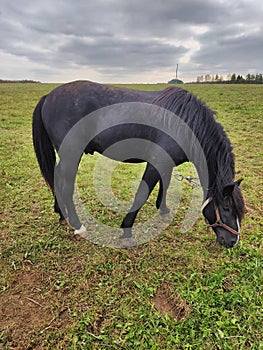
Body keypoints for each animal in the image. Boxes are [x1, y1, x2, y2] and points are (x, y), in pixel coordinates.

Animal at [32, 80, 245, 247]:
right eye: (226, 209)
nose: (232, 241)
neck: (185, 123)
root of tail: (49, 97)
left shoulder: (166, 163)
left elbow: (165, 183)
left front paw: (163, 208)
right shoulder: (156, 162)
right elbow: (142, 193)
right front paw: (126, 229)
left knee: (57, 179)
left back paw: (61, 213)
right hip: (71, 155)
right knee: (66, 186)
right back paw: (78, 225)